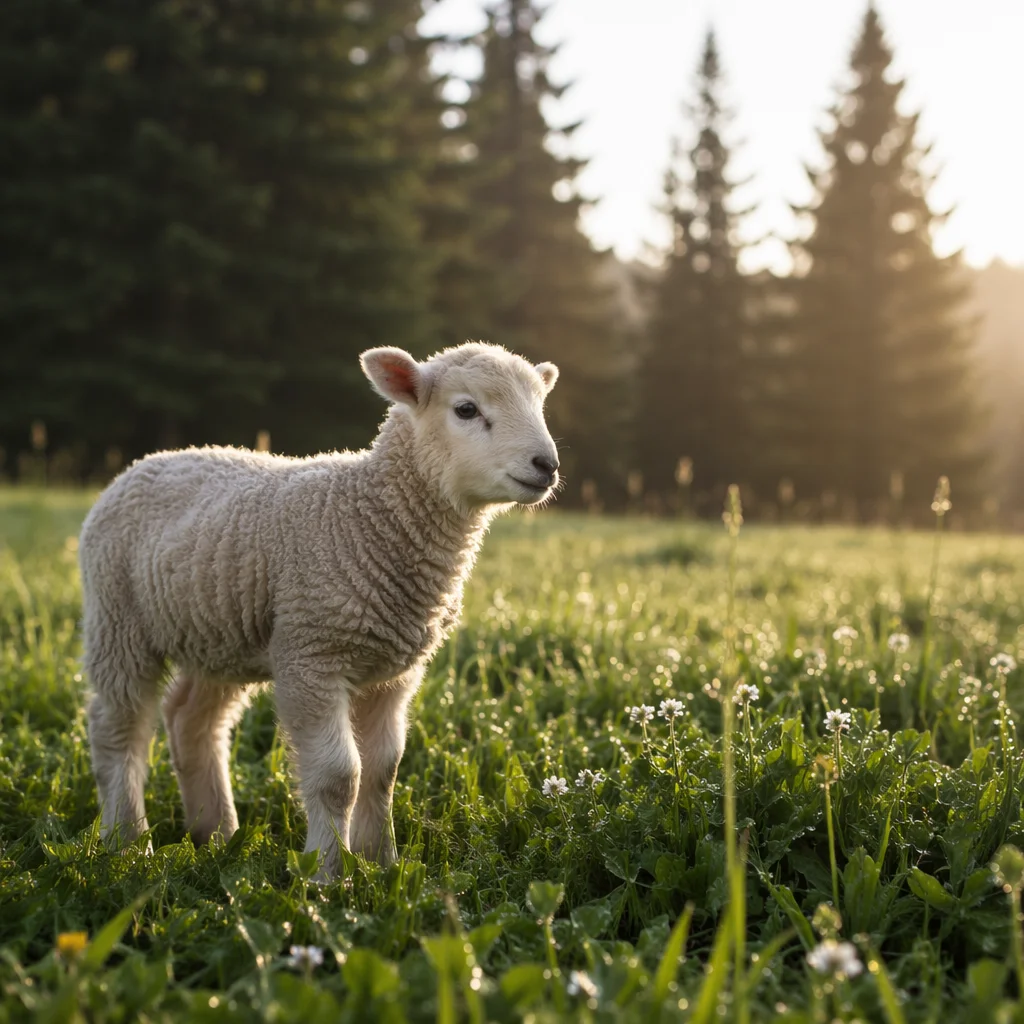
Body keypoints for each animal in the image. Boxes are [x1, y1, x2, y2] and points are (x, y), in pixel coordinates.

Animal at [79, 342, 560, 876]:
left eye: (540, 404)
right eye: (467, 410)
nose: (547, 464)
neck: (369, 515)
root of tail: (140, 464)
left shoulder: (393, 673)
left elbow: (383, 771)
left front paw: (382, 864)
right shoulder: (312, 655)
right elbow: (338, 775)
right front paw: (329, 873)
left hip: (218, 634)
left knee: (191, 721)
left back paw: (216, 835)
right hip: (118, 618)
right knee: (116, 727)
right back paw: (127, 840)